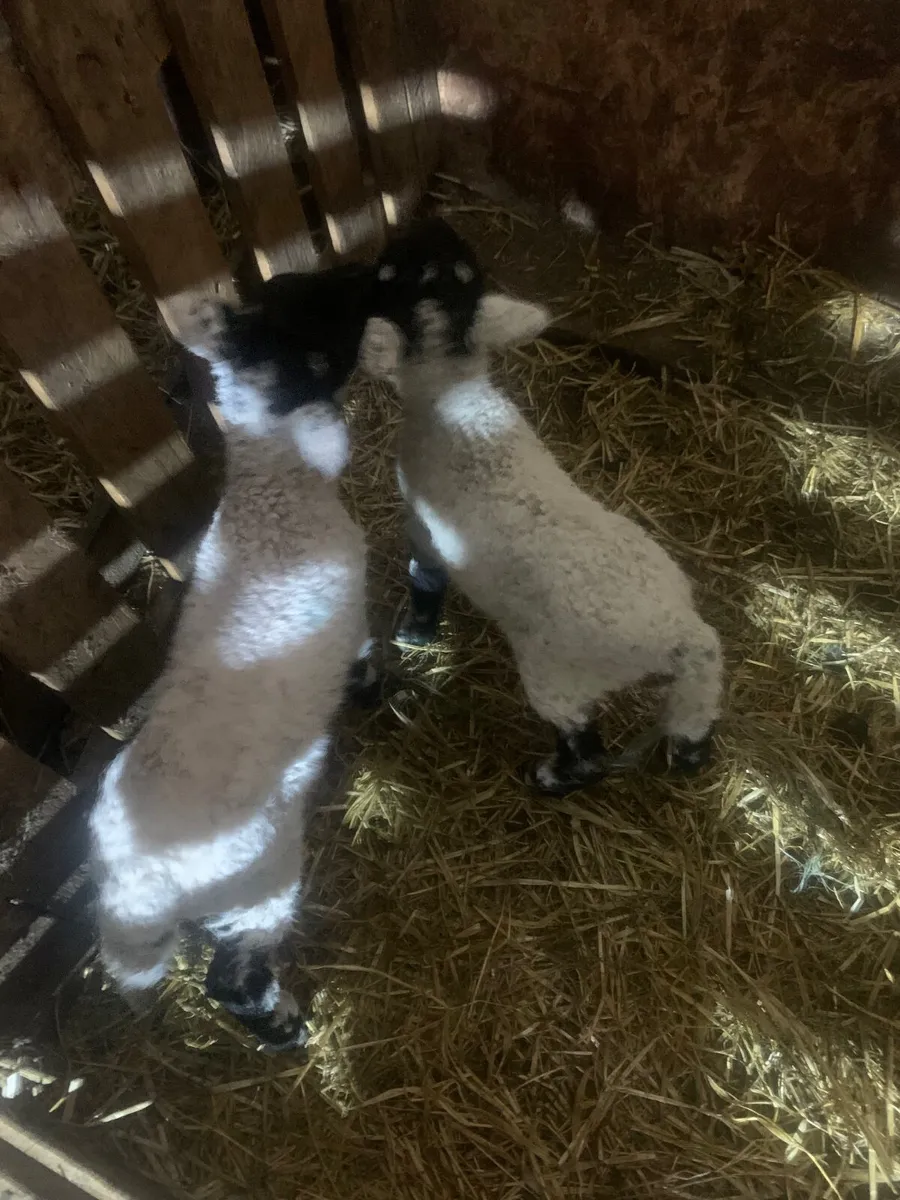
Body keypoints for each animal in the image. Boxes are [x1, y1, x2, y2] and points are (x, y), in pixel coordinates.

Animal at [89, 264, 377, 1051]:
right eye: (319, 323)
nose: (367, 274)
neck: (275, 494)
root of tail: (141, 884)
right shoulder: (355, 612)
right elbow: (369, 658)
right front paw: (385, 693)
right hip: (258, 883)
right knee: (232, 975)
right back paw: (284, 1028)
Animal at [360, 218, 723, 795]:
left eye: (389, 271)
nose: (426, 221)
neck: (453, 396)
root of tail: (677, 631)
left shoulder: (421, 522)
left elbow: (425, 578)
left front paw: (415, 634)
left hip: (560, 674)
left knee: (585, 744)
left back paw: (552, 778)